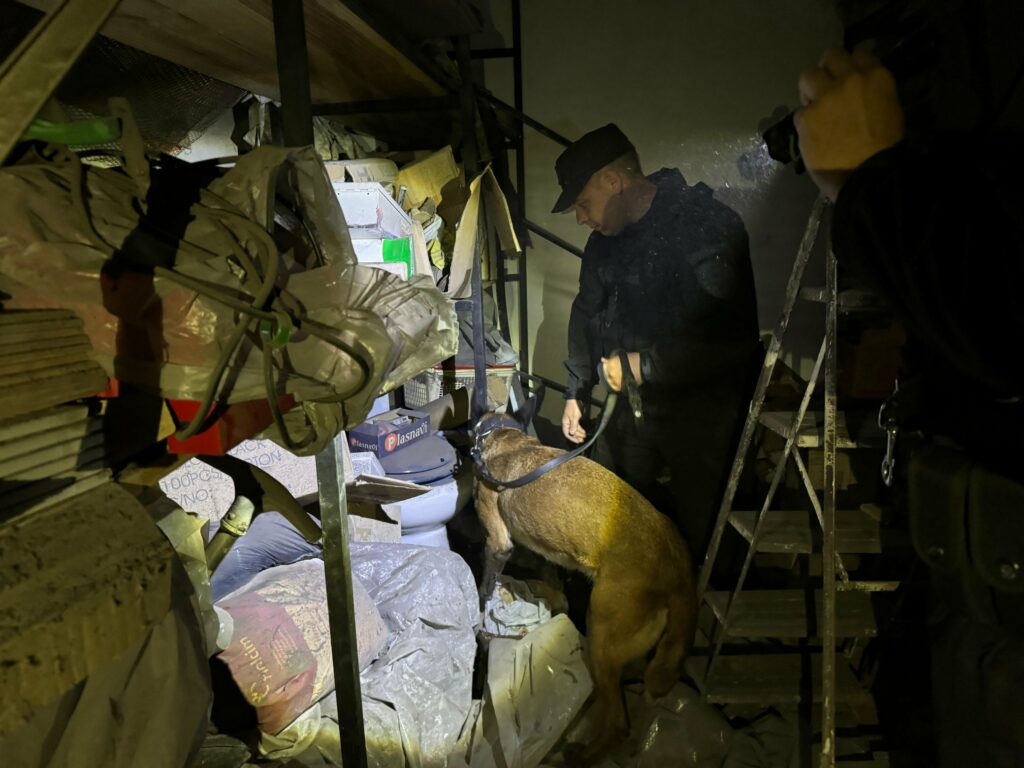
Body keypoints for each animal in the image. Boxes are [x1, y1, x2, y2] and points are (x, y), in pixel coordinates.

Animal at [471, 415, 696, 765]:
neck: (508, 441)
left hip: (601, 638)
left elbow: (485, 587)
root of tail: (678, 569)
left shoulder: (498, 543)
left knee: (617, 723)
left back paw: (583, 757)